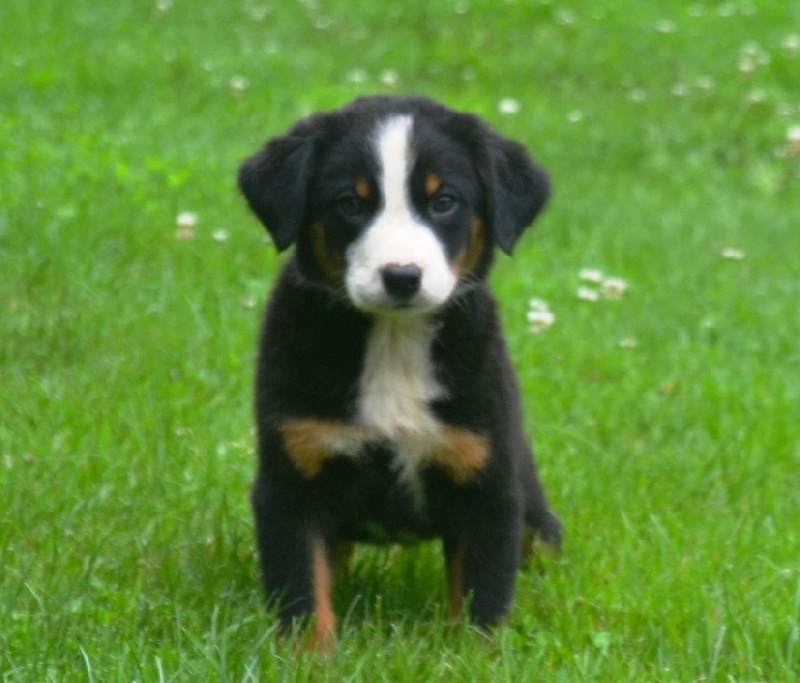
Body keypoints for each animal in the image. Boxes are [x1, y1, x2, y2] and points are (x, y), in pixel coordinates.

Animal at [238, 95, 564, 648]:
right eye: (350, 203)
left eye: (444, 201)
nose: (402, 276)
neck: (392, 342)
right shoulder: (292, 478)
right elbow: (302, 591)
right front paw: (308, 656)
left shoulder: (487, 482)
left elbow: (483, 595)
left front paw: (470, 655)